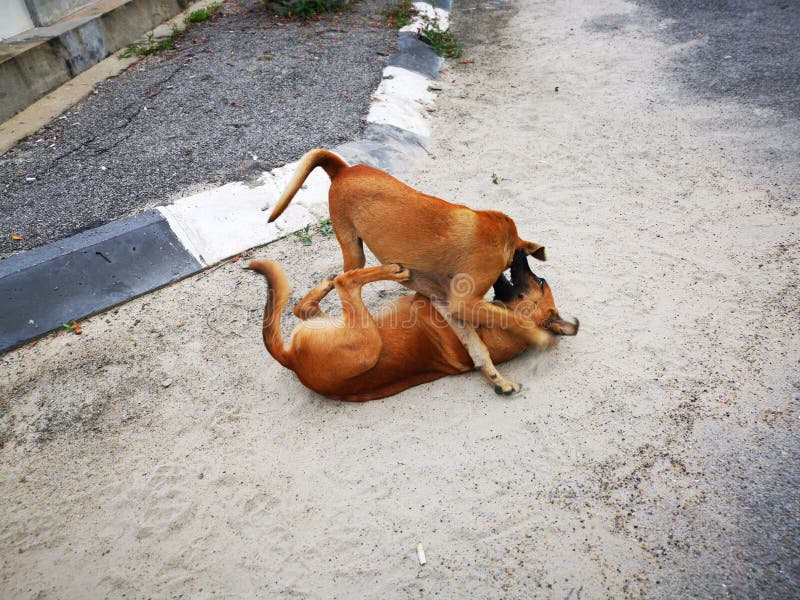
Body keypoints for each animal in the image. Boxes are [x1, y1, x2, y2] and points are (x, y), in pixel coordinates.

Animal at [248, 248, 576, 404]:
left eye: (540, 281)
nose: (520, 253)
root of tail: (291, 361)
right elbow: (479, 351)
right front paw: (497, 377)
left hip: (366, 342)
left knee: (344, 283)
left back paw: (387, 270)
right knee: (303, 306)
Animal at [268, 149, 552, 394]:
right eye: (537, 280)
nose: (538, 276)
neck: (503, 238)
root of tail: (344, 170)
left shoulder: (447, 306)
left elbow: (478, 349)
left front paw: (498, 379)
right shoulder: (463, 304)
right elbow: (515, 319)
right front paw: (539, 336)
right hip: (353, 251)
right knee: (345, 279)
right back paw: (392, 270)